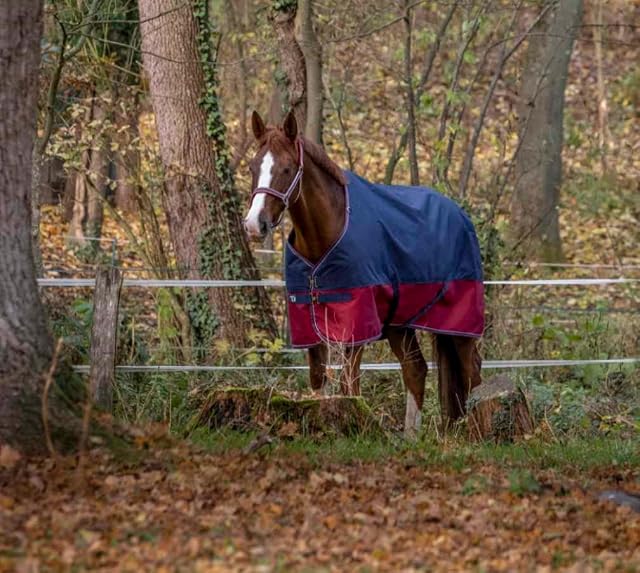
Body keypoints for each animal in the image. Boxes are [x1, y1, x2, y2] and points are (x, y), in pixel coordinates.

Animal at [243, 109, 483, 436]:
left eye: (286, 168)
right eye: (253, 166)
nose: (254, 224)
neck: (324, 238)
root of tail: (460, 214)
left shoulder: (357, 322)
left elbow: (349, 384)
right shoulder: (308, 322)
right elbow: (318, 379)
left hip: (458, 325)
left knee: (473, 372)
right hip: (399, 323)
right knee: (415, 369)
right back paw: (410, 436)